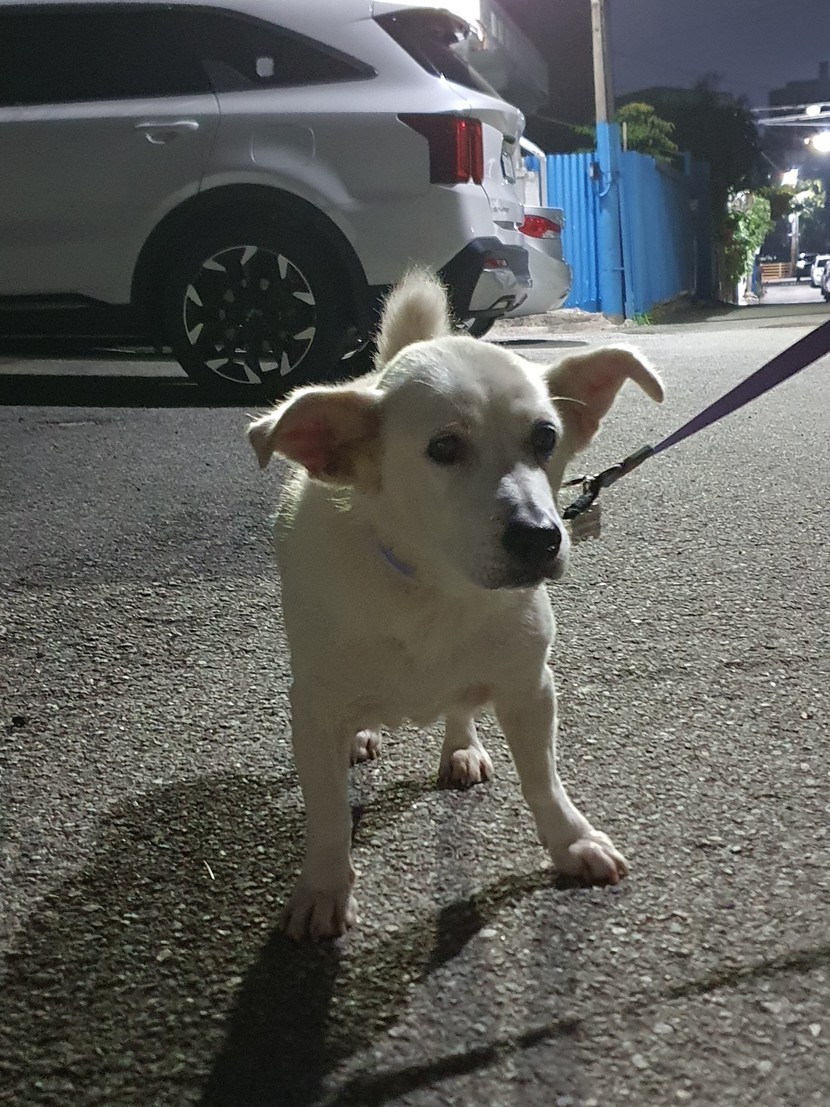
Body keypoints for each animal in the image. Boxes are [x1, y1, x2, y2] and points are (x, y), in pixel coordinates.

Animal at [248, 270, 664, 940]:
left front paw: (570, 841)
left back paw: (461, 746)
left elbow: (542, 779)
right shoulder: (312, 707)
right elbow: (328, 811)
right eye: (443, 448)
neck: (436, 591)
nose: (540, 537)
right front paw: (324, 885)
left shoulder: (529, 687)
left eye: (546, 437)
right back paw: (363, 735)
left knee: (459, 705)